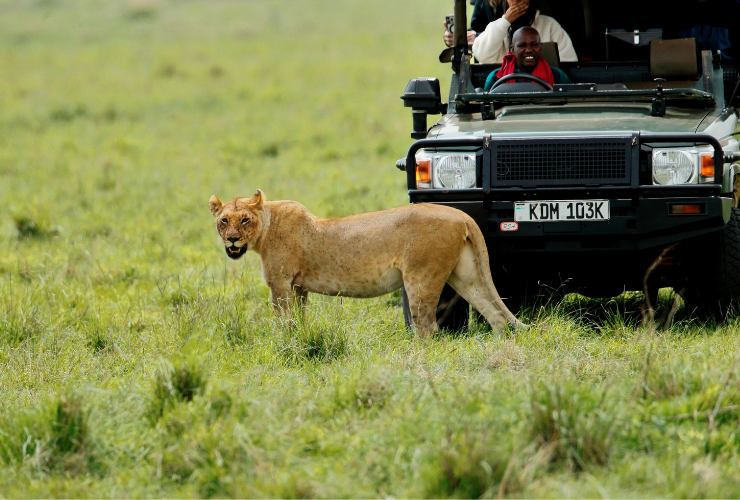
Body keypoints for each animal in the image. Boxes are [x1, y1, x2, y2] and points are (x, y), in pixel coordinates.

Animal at [209, 190, 524, 337]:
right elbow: (299, 320)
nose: (233, 240)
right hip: (465, 274)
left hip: (421, 278)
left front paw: (282, 344)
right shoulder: (298, 287)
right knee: (495, 315)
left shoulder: (281, 284)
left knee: (426, 327)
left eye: (244, 220)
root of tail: (462, 215)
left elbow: (283, 322)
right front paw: (299, 339)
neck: (265, 228)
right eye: (224, 220)